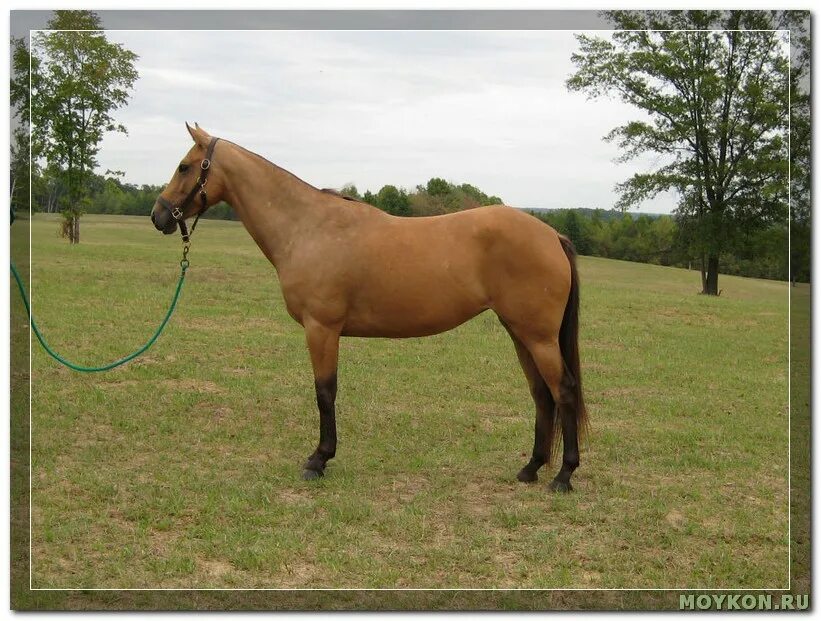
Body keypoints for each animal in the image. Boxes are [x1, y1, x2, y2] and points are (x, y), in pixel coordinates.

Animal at [151, 123, 588, 492]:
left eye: (184, 166)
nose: (159, 216)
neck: (307, 227)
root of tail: (552, 235)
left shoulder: (321, 328)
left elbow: (325, 392)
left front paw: (319, 460)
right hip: (521, 333)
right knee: (541, 393)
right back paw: (530, 468)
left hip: (538, 337)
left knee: (563, 391)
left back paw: (563, 476)